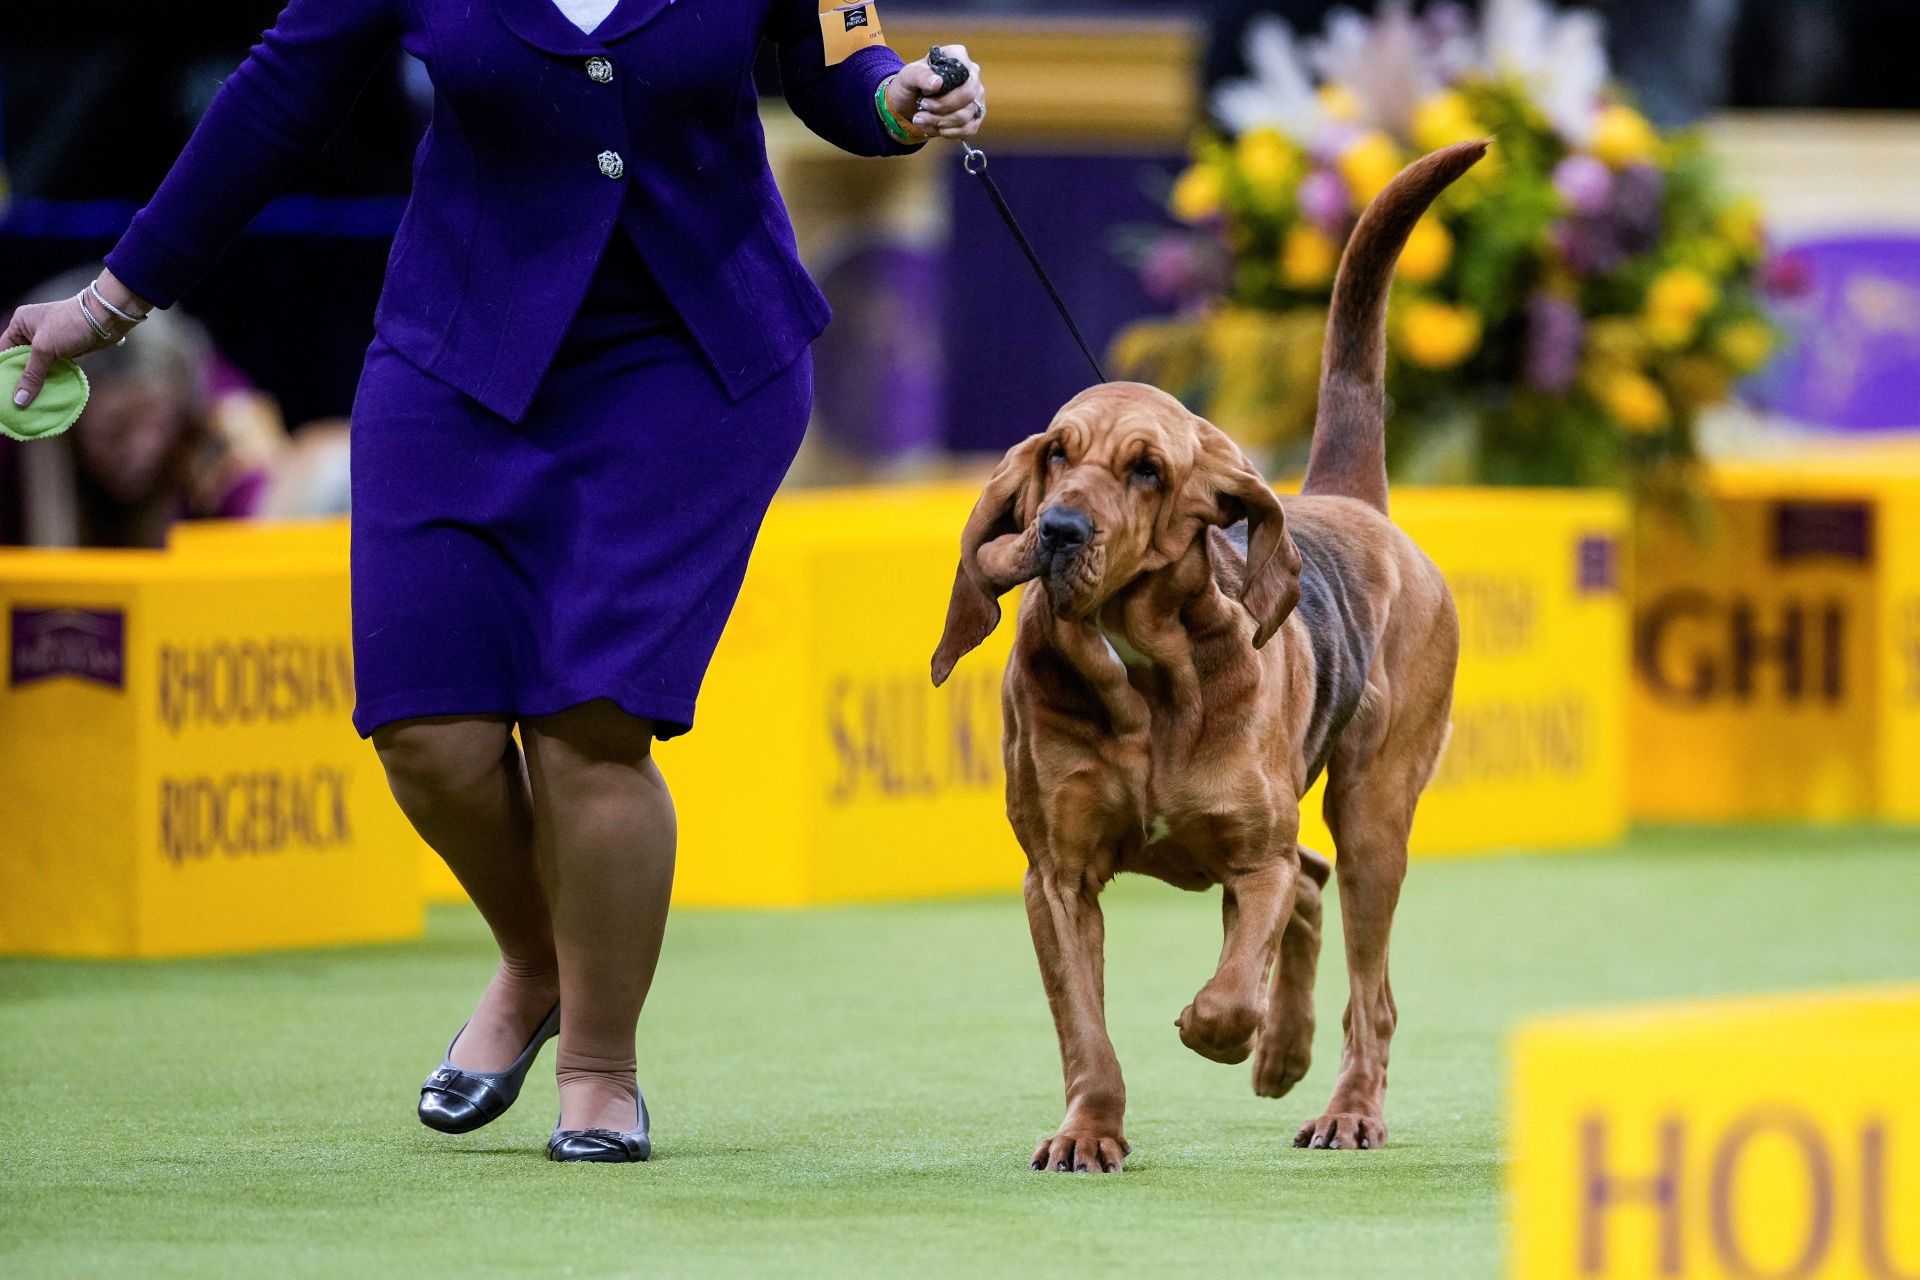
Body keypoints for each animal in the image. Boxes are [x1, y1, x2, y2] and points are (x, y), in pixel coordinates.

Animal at [929, 140, 1482, 1174]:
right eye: (1056, 454)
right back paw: (1286, 1055)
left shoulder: (1252, 859)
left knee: (1366, 984)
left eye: (1148, 469)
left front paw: (1219, 1030)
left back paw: (1344, 1105)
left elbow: (1229, 992)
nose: (1058, 531)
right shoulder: (1057, 877)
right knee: (1314, 888)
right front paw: (1089, 1133)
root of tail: (1350, 502)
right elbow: (1085, 1030)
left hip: (1375, 814)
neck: (1139, 668)